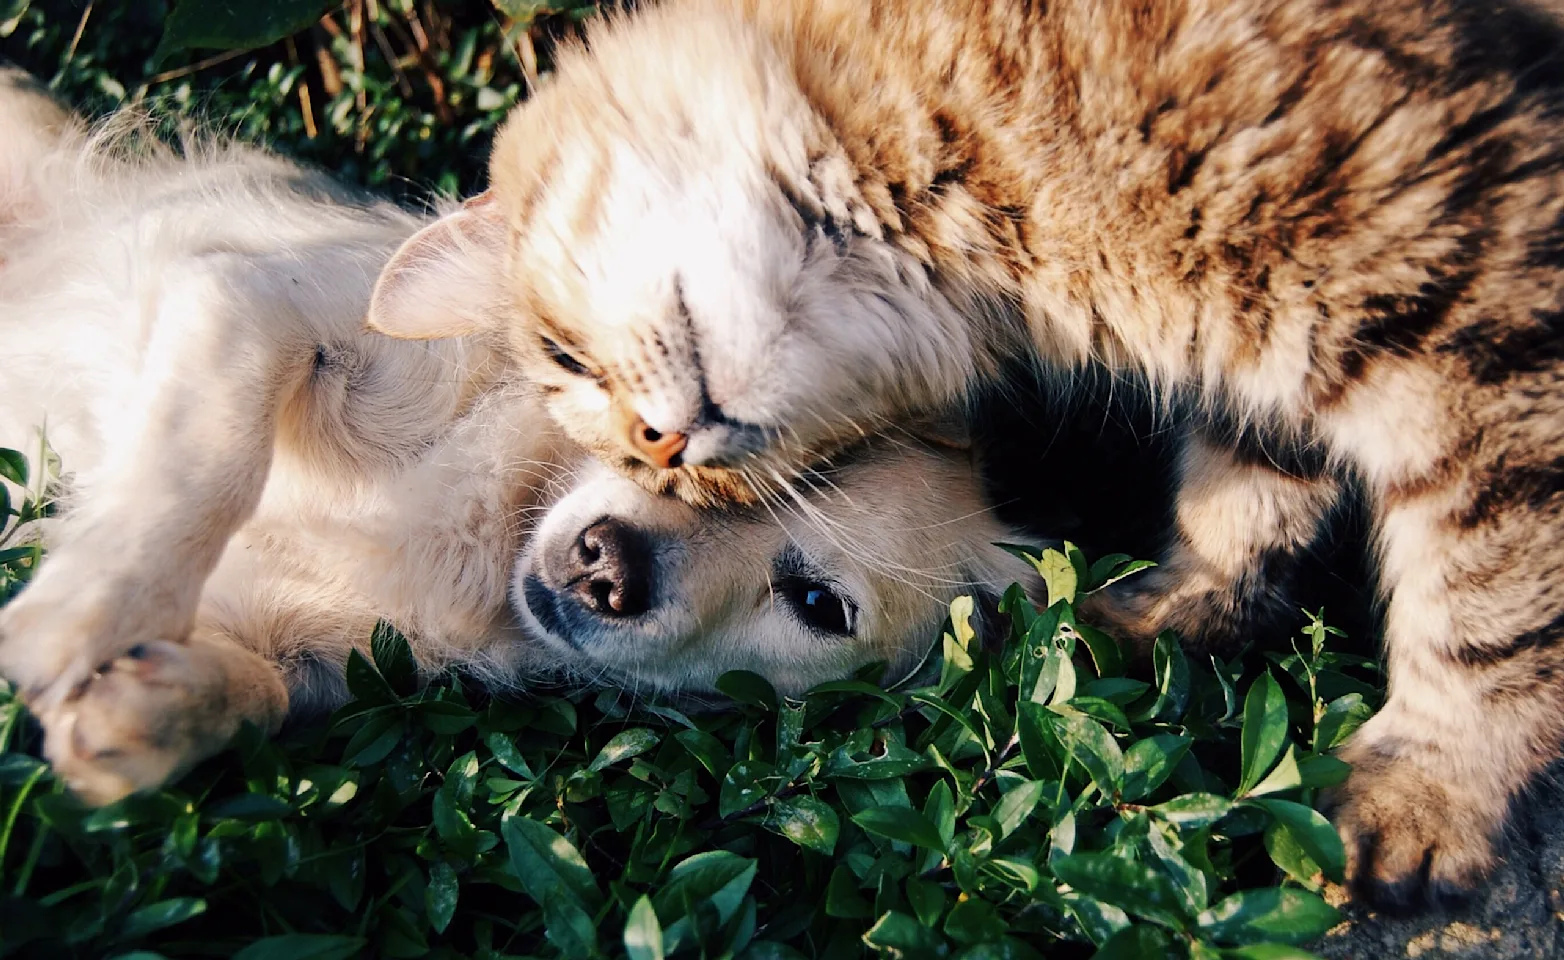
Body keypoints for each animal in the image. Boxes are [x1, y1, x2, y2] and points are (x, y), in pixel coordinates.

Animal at [369, 0, 1564, 906]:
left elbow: (1487, 612)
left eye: (566, 358)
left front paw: (1428, 792)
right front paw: (1168, 616)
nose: (661, 451)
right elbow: (1244, 499)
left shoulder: (1479, 320)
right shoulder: (1271, 359)